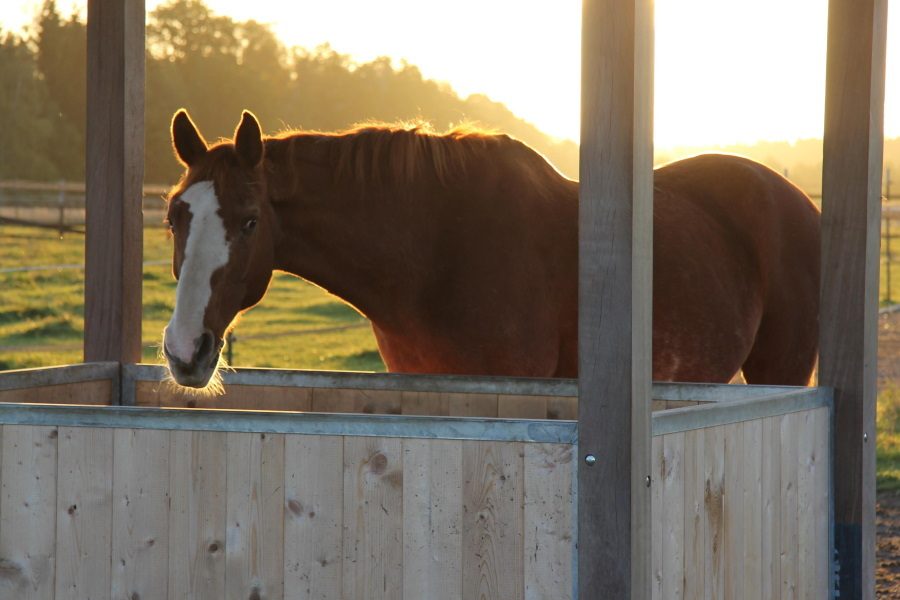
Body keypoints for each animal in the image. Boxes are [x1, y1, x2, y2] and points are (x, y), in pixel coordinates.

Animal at [162, 109, 824, 390]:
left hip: (783, 371)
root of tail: (792, 197)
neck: (433, 261)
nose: (185, 351)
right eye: (174, 219)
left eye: (250, 222)